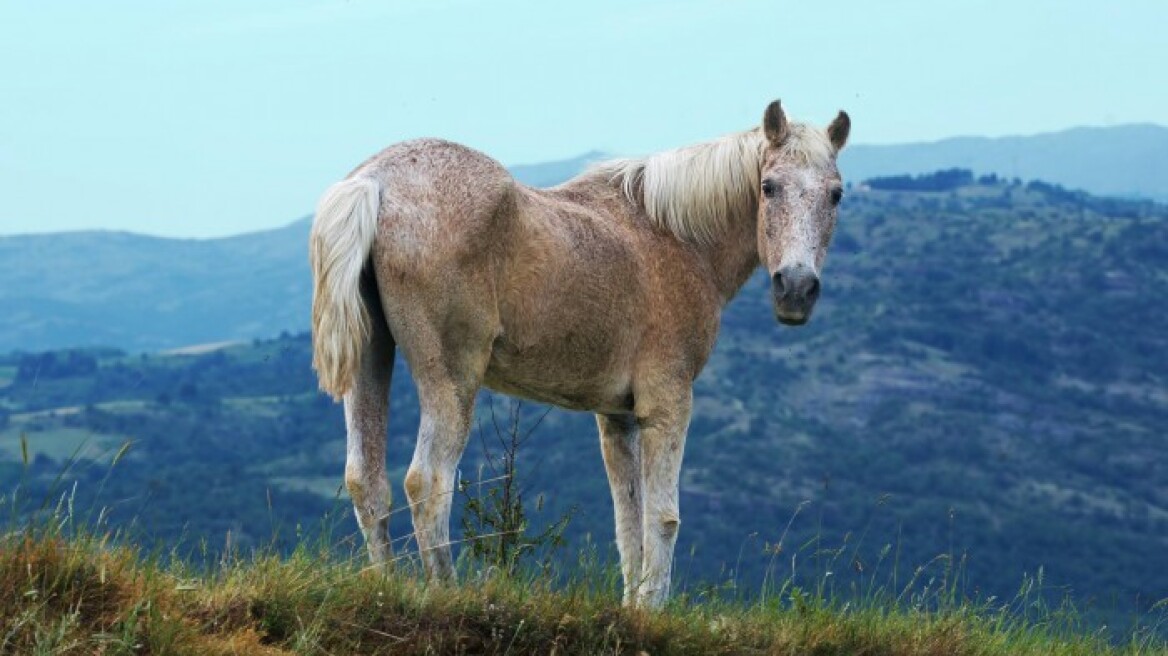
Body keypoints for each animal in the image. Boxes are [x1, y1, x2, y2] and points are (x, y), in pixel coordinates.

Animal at [308, 99, 850, 606]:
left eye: (836, 193)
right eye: (769, 187)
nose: (796, 289)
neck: (675, 237)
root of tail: (374, 183)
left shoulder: (618, 417)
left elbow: (629, 522)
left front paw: (633, 609)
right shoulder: (668, 403)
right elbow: (663, 518)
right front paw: (652, 610)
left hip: (370, 360)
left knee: (366, 481)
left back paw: (387, 587)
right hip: (452, 379)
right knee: (427, 483)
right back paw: (445, 592)